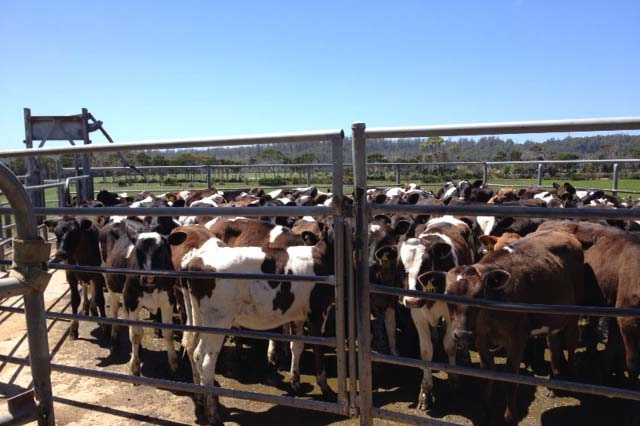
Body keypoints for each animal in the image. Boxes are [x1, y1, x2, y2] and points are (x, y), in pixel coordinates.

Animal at [175, 228, 336, 424]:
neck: (321, 256)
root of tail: (194, 259)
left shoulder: (298, 316)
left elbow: (296, 347)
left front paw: (295, 382)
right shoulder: (318, 312)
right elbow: (319, 351)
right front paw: (326, 388)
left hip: (197, 317)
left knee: (191, 348)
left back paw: (200, 397)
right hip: (217, 321)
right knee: (204, 359)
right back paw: (212, 414)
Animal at [396, 215, 480, 412]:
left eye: (426, 264)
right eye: (400, 266)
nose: (411, 300)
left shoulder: (450, 314)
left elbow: (449, 345)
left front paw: (454, 380)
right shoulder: (418, 316)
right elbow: (426, 351)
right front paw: (425, 394)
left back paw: (464, 354)